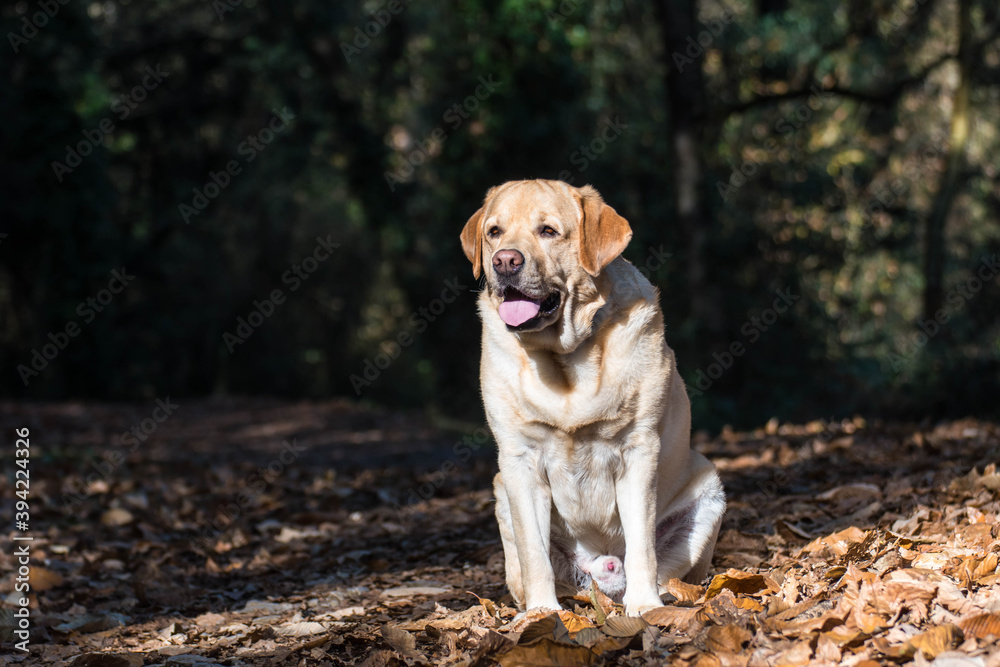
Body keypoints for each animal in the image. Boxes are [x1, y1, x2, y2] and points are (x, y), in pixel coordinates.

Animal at [460, 179, 728, 616]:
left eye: (548, 231)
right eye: (494, 232)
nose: (504, 262)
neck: (565, 359)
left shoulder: (638, 450)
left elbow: (641, 543)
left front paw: (644, 606)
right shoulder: (519, 461)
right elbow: (534, 554)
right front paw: (543, 614)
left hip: (709, 495)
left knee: (663, 570)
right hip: (502, 494)